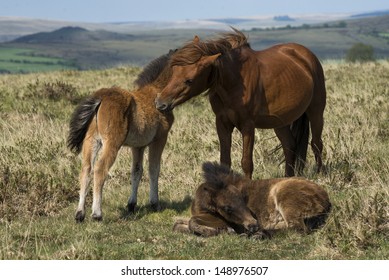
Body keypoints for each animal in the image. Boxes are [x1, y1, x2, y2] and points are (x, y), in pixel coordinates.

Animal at [67, 50, 174, 221]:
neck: (156, 90)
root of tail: (101, 97)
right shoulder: (159, 139)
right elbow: (154, 169)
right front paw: (155, 204)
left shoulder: (138, 146)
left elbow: (136, 170)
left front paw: (131, 205)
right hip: (112, 142)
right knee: (100, 169)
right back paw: (97, 213)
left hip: (91, 140)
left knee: (86, 170)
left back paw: (79, 214)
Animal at [155, 29, 324, 177]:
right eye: (173, 72)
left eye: (189, 80)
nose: (160, 103)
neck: (235, 81)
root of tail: (305, 54)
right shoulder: (222, 123)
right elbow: (225, 161)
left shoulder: (247, 125)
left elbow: (246, 163)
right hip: (280, 121)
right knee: (289, 145)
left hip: (316, 111)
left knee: (316, 143)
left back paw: (320, 175)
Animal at [174, 162, 328, 238]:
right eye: (227, 208)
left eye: (243, 201)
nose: (253, 224)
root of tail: (325, 201)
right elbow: (178, 224)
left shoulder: (221, 220)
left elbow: (191, 222)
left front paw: (220, 231)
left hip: (287, 204)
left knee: (297, 229)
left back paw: (257, 235)